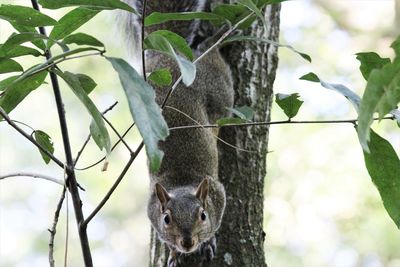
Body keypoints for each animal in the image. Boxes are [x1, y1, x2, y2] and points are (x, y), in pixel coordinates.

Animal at [122, 0, 234, 266]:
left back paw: (220, 35)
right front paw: (173, 253)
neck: (183, 183)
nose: (187, 242)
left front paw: (208, 242)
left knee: (212, 56)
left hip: (219, 90)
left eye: (203, 215)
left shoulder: (219, 196)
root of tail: (168, 53)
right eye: (166, 219)